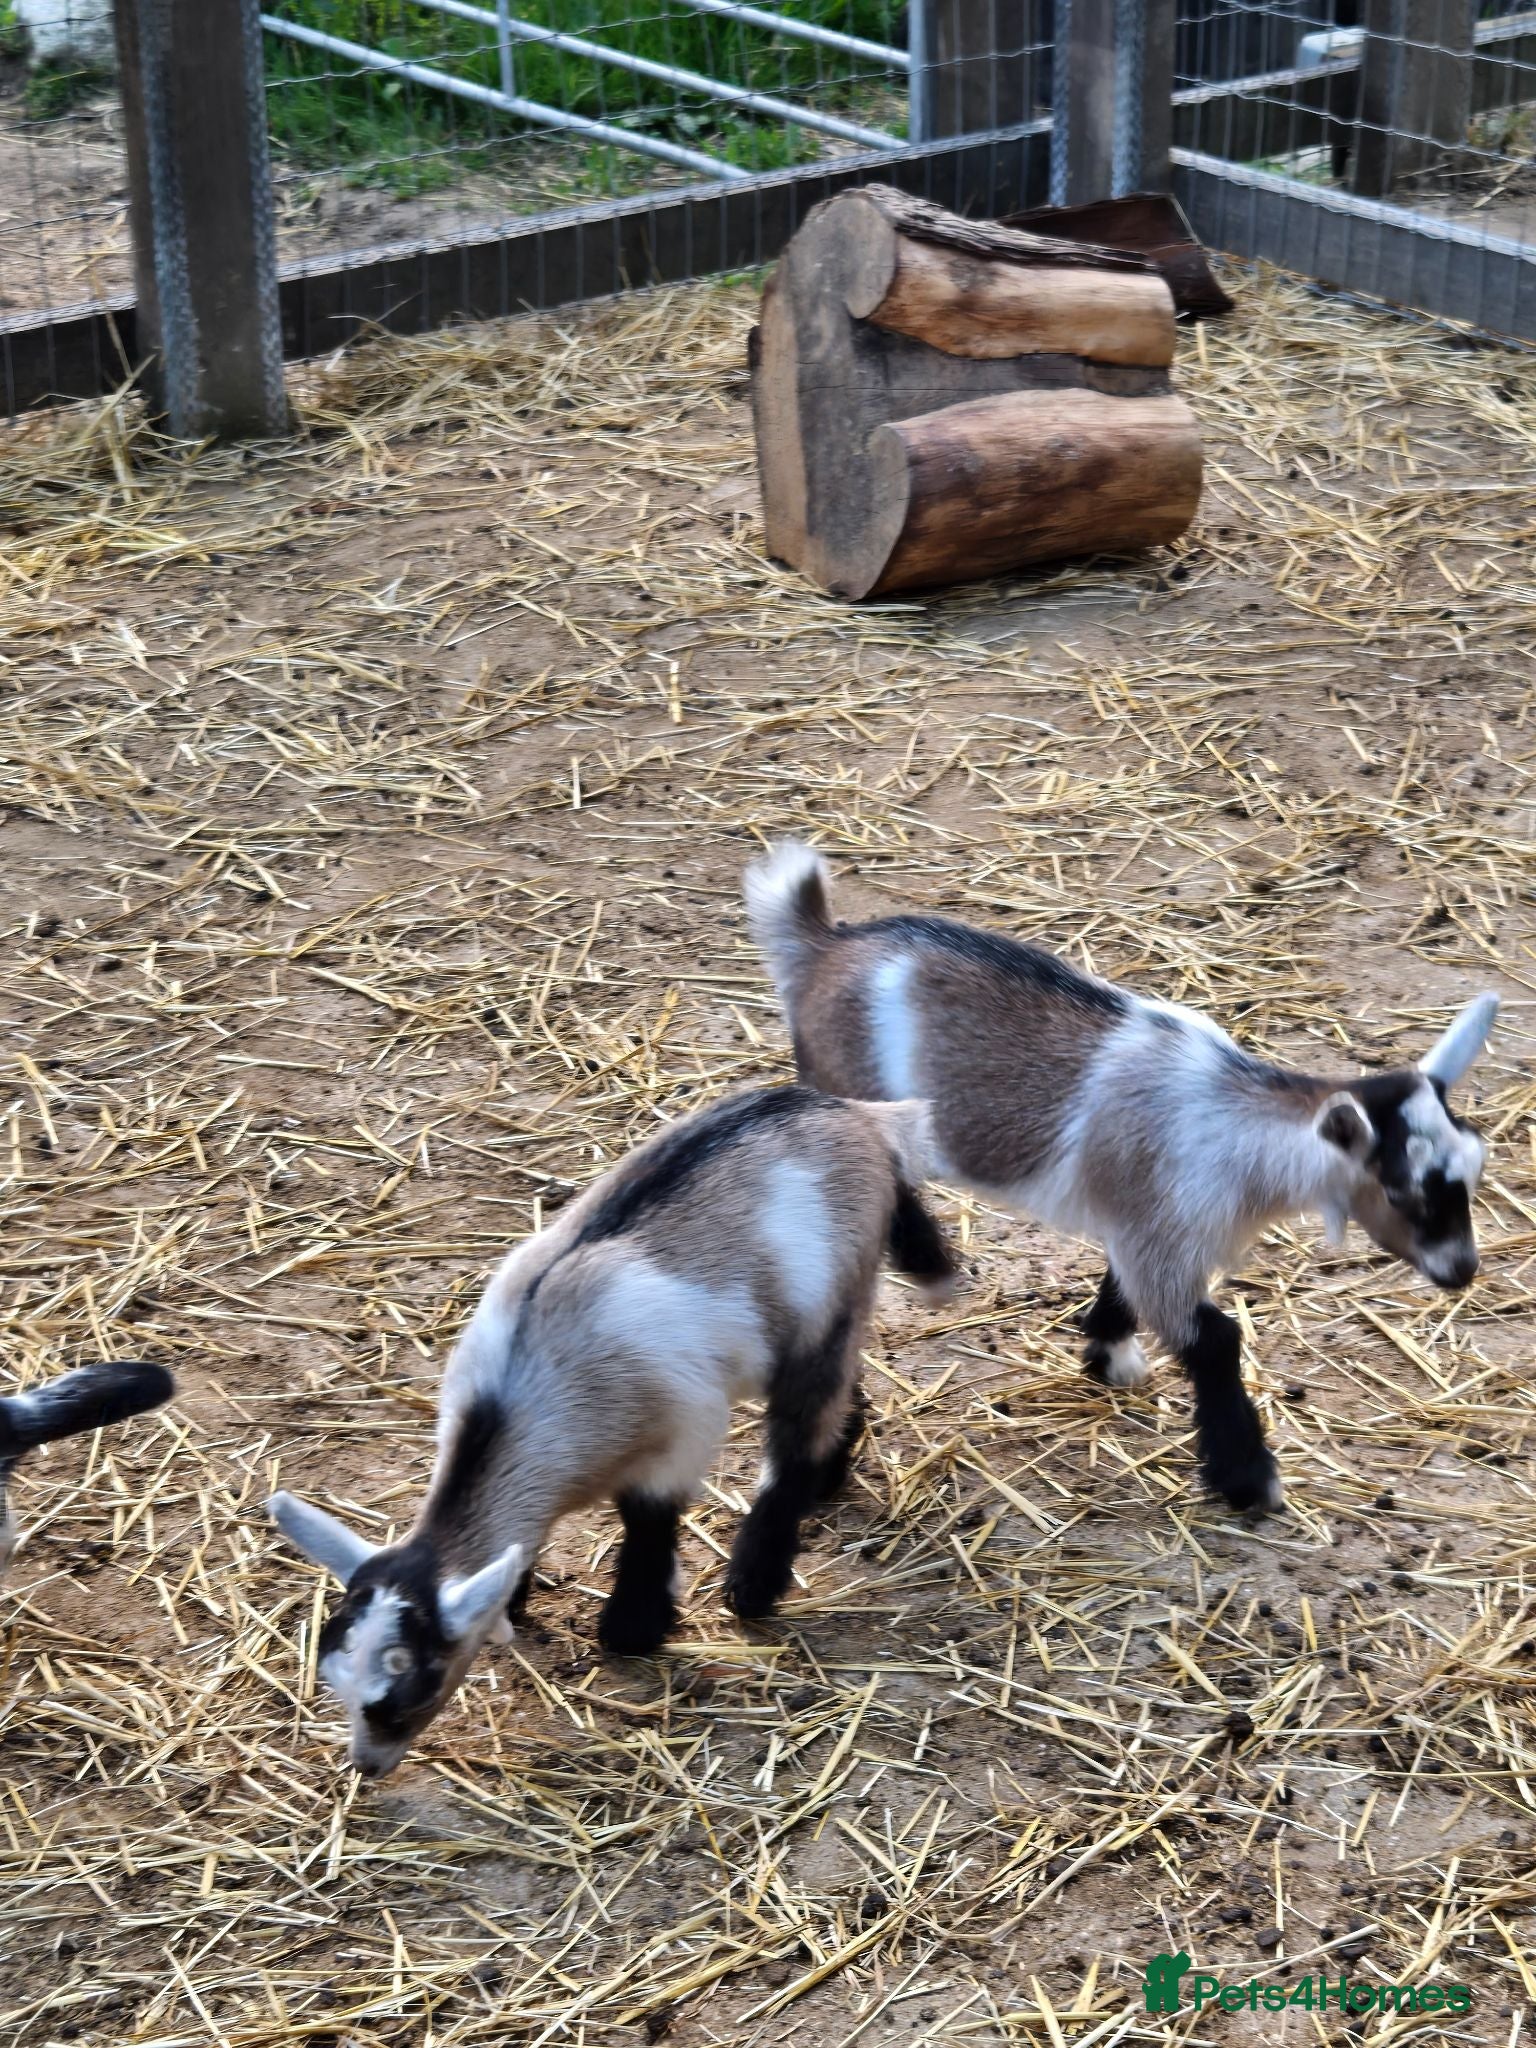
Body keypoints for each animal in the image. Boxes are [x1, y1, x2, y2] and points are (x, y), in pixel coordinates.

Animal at [268, 1084, 953, 1778]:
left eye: (405, 1696)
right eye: (336, 1684)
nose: (367, 1765)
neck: (520, 1393)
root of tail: (848, 1111)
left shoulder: (680, 1432)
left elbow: (648, 1524)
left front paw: (634, 1627)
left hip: (826, 1311)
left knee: (796, 1438)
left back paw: (756, 1582)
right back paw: (830, 1476)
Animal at [745, 840, 1498, 1514]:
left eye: (1473, 1168)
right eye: (1403, 1190)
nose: (1461, 1270)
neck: (1240, 1127)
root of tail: (820, 944)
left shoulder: (1145, 1225)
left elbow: (1121, 1286)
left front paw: (1107, 1355)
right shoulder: (1160, 1237)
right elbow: (1216, 1340)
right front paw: (1248, 1479)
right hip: (848, 1093)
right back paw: (929, 1265)